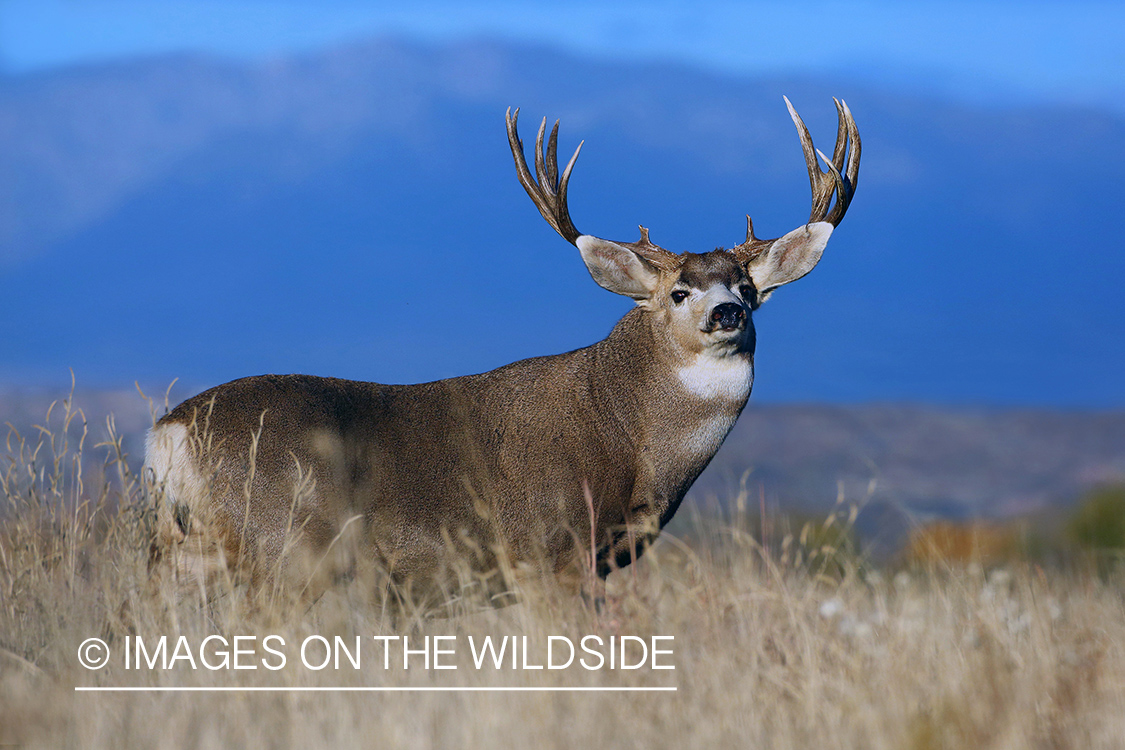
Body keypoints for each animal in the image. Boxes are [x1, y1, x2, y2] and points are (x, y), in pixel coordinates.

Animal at [142, 96, 859, 611]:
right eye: (679, 290)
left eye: (749, 288)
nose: (727, 312)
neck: (628, 436)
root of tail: (169, 430)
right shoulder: (548, 551)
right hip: (283, 546)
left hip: (189, 547)